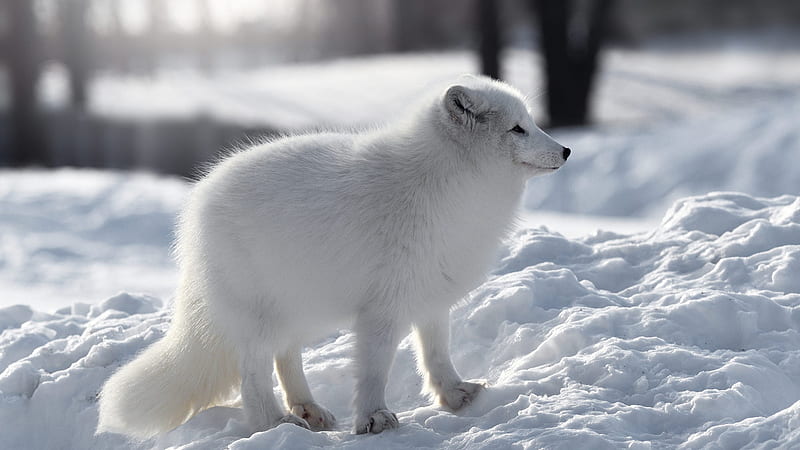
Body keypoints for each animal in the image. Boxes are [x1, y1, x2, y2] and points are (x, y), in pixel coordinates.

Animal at [97, 75, 568, 438]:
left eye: (531, 123)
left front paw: (456, 396)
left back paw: (308, 409)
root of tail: (197, 205)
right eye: (517, 129)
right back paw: (275, 423)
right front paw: (374, 420)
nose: (566, 151)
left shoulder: (432, 297)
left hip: (301, 311)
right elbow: (374, 370)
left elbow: (437, 356)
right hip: (260, 316)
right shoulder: (382, 309)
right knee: (254, 374)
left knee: (285, 357)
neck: (451, 185)